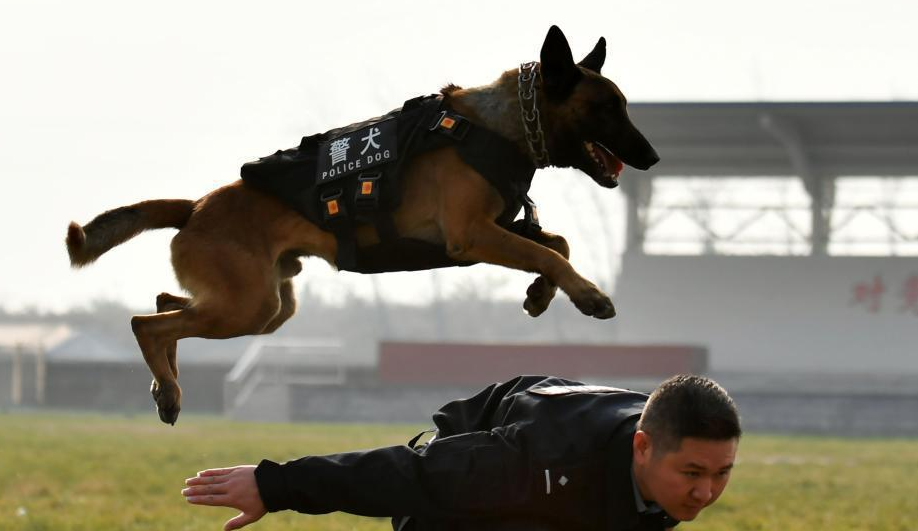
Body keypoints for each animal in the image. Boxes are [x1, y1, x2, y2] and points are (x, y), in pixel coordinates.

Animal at [66, 26, 660, 424]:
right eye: (606, 108)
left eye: (623, 105)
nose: (652, 157)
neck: (502, 126)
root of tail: (194, 206)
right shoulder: (473, 235)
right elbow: (549, 250)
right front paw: (587, 294)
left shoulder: (499, 227)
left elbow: (555, 244)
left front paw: (543, 294)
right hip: (248, 306)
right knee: (148, 323)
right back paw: (167, 390)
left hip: (265, 308)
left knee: (166, 304)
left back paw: (163, 383)